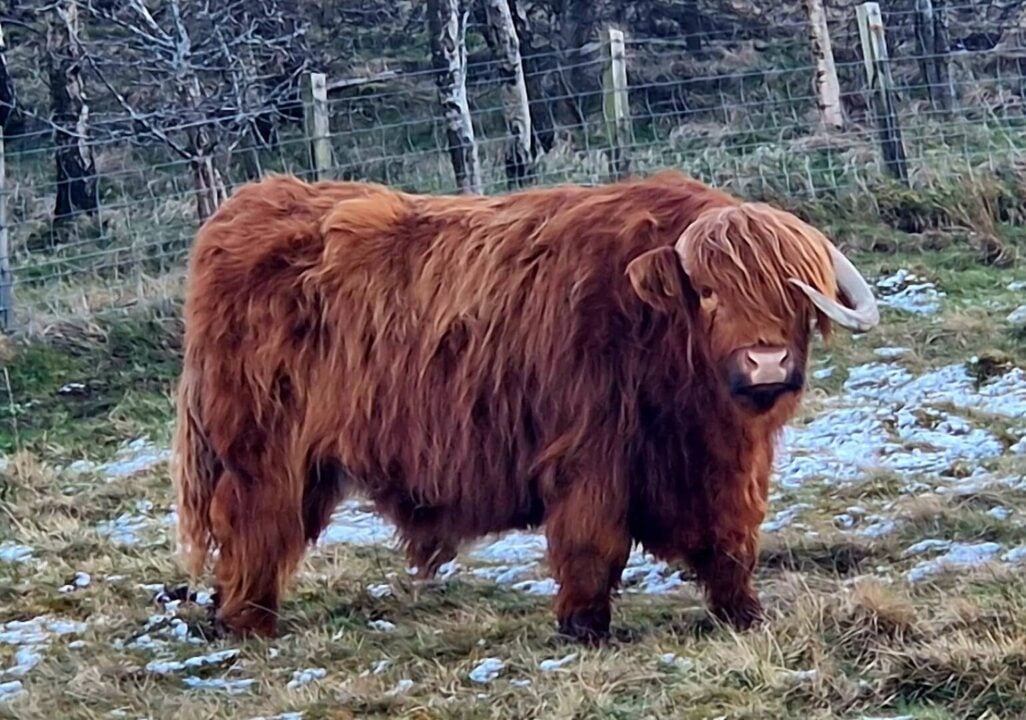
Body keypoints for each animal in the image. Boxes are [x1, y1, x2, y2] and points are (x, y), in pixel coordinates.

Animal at [172, 170, 878, 644]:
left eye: (795, 294)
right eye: (706, 293)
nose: (767, 363)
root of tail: (247, 204)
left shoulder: (727, 466)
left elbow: (731, 541)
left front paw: (744, 614)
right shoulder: (590, 455)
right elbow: (593, 545)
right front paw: (584, 628)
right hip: (260, 453)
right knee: (253, 527)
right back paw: (247, 623)